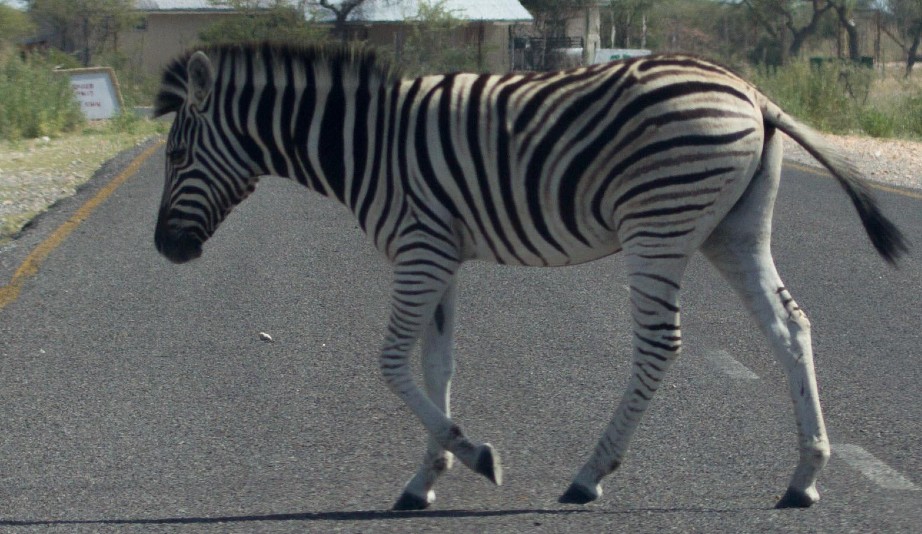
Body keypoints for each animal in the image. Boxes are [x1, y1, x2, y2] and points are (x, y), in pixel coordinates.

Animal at [152, 42, 906, 510]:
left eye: (178, 155)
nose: (164, 249)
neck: (364, 144)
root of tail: (752, 93)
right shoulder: (441, 255)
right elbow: (438, 365)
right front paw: (427, 476)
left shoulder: (419, 248)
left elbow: (392, 362)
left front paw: (475, 456)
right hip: (734, 229)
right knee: (792, 327)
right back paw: (804, 476)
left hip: (658, 224)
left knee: (661, 346)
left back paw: (589, 475)